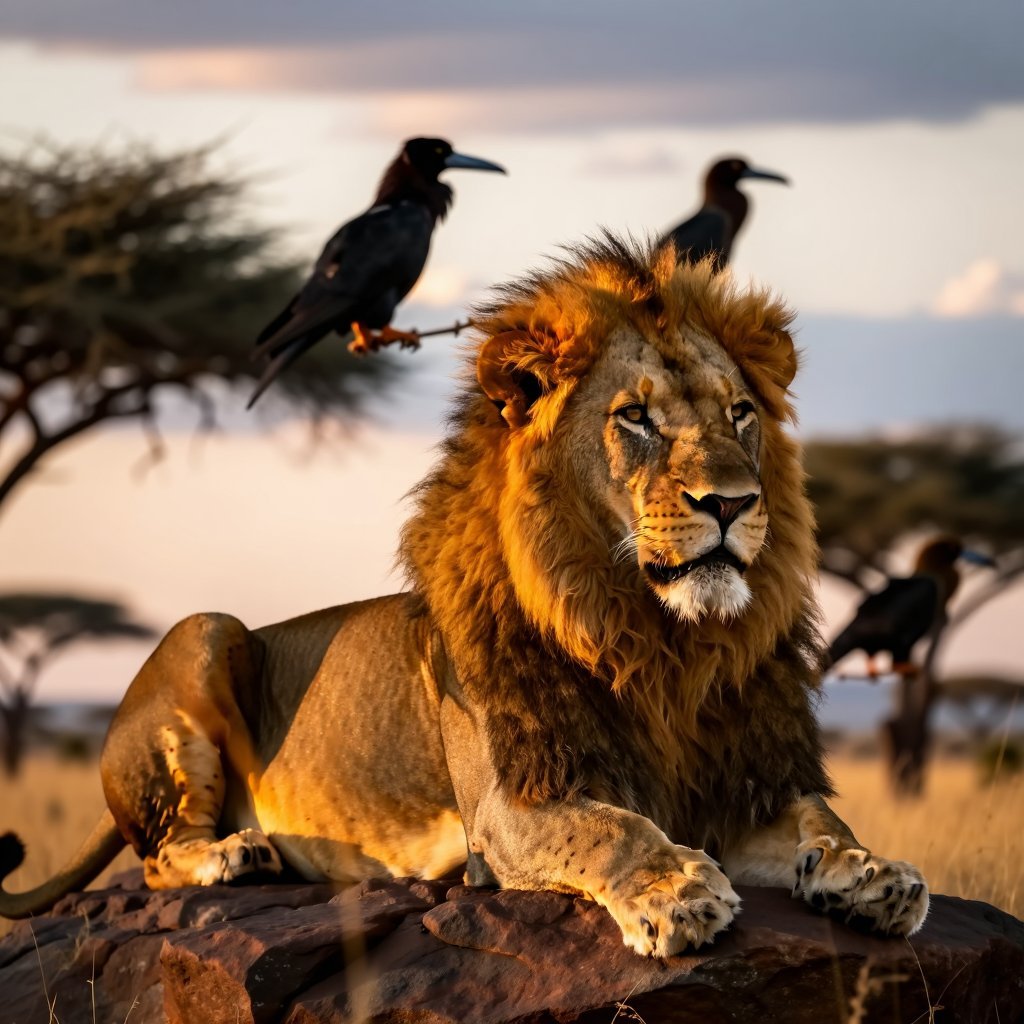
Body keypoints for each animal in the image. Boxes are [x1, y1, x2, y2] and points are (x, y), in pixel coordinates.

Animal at [0, 236, 928, 955]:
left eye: (739, 413)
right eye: (635, 418)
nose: (732, 503)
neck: (655, 637)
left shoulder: (731, 781)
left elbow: (818, 817)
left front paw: (873, 874)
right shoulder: (510, 806)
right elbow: (614, 827)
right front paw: (676, 890)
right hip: (207, 628)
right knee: (156, 857)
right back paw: (235, 854)